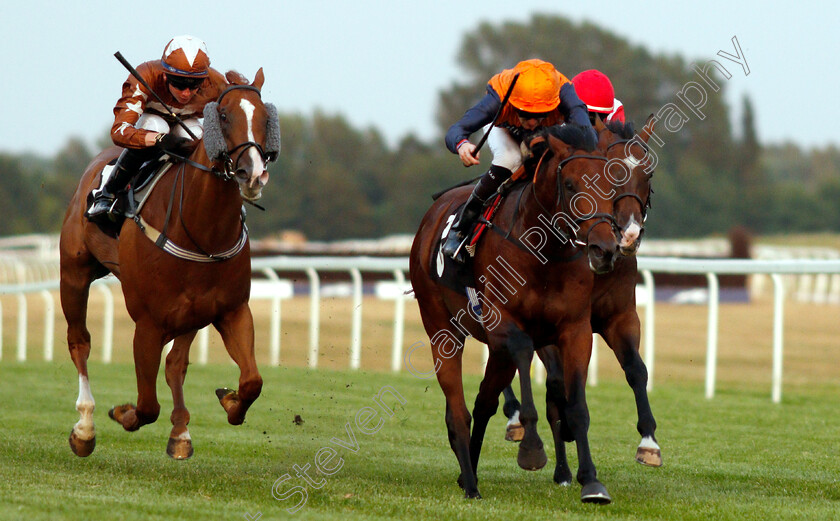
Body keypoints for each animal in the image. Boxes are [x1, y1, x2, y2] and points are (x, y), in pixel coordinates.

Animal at [63, 69, 278, 460]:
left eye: (266, 119)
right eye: (224, 115)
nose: (252, 174)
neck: (202, 231)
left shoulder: (231, 310)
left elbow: (252, 381)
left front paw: (228, 401)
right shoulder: (147, 323)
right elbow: (147, 406)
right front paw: (122, 413)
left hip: (191, 314)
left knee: (176, 364)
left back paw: (181, 432)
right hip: (73, 273)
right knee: (79, 341)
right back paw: (85, 428)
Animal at [410, 124, 620, 502]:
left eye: (611, 185)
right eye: (570, 185)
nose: (604, 249)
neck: (545, 253)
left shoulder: (574, 330)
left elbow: (576, 406)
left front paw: (591, 481)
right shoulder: (506, 326)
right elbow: (524, 362)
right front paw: (532, 449)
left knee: (482, 402)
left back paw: (468, 472)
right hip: (440, 328)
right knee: (459, 408)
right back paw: (471, 483)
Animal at [498, 119, 664, 472]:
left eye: (647, 173)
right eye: (611, 174)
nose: (629, 234)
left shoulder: (618, 315)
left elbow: (636, 369)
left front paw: (649, 442)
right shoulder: (553, 324)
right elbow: (558, 382)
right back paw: (516, 419)